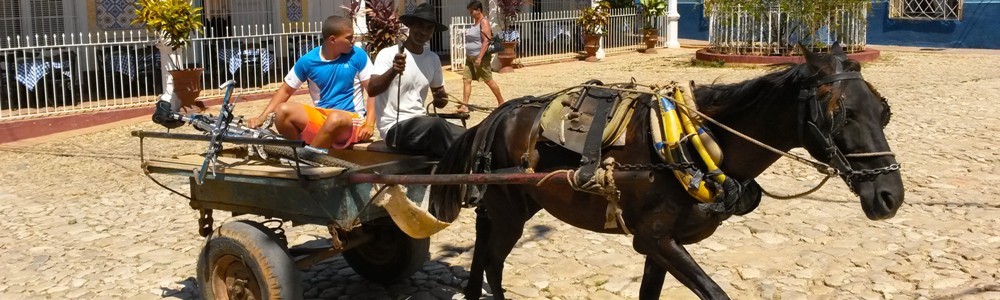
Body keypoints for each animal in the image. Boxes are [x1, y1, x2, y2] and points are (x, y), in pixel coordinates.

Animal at [430, 45, 908, 300]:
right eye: (842, 115)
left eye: (883, 111)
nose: (890, 195)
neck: (697, 145)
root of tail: (500, 113)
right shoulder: (655, 239)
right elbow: (714, 292)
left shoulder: (658, 244)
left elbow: (651, 293)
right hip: (509, 212)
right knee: (493, 260)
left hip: (514, 205)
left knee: (483, 254)